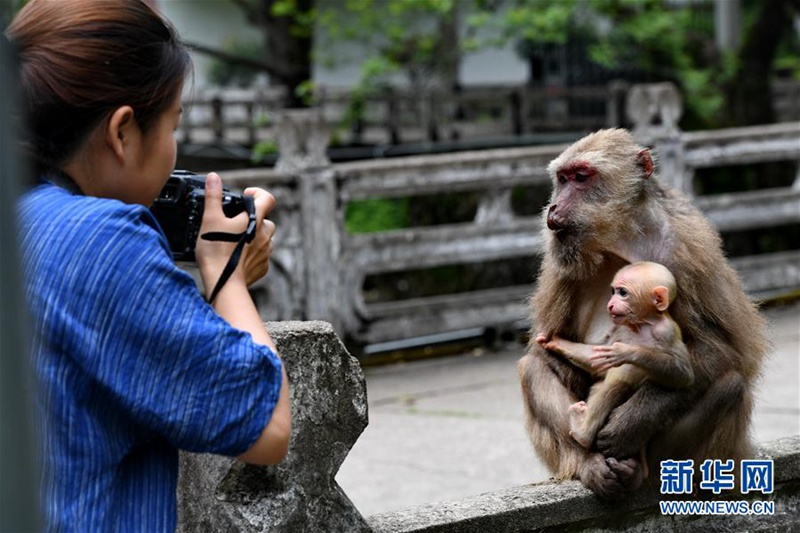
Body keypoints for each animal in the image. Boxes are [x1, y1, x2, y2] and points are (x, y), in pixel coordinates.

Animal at [536, 262, 692, 479]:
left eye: (623, 292)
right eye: (613, 291)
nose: (610, 304)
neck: (641, 324)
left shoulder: (666, 331)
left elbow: (683, 374)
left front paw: (627, 352)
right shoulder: (621, 329)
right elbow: (596, 359)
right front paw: (554, 342)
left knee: (620, 380)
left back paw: (583, 433)